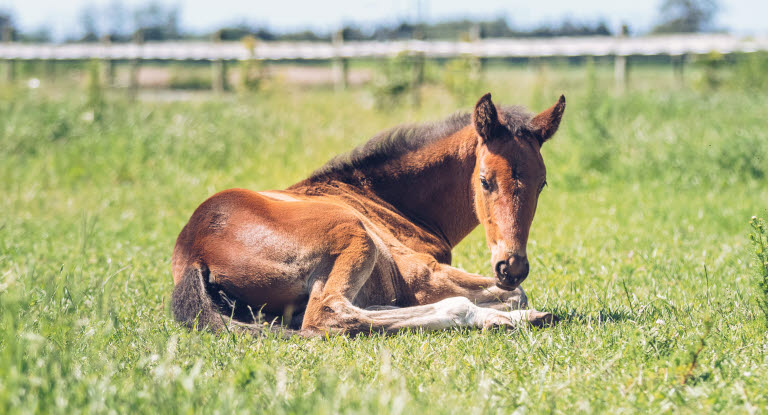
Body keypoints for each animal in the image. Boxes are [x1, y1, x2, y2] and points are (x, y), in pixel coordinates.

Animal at [171, 92, 564, 336]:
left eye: (543, 184)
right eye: (485, 180)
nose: (511, 266)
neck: (381, 197)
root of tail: (194, 251)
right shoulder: (422, 274)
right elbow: (516, 293)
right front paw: (511, 310)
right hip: (354, 235)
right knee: (329, 314)